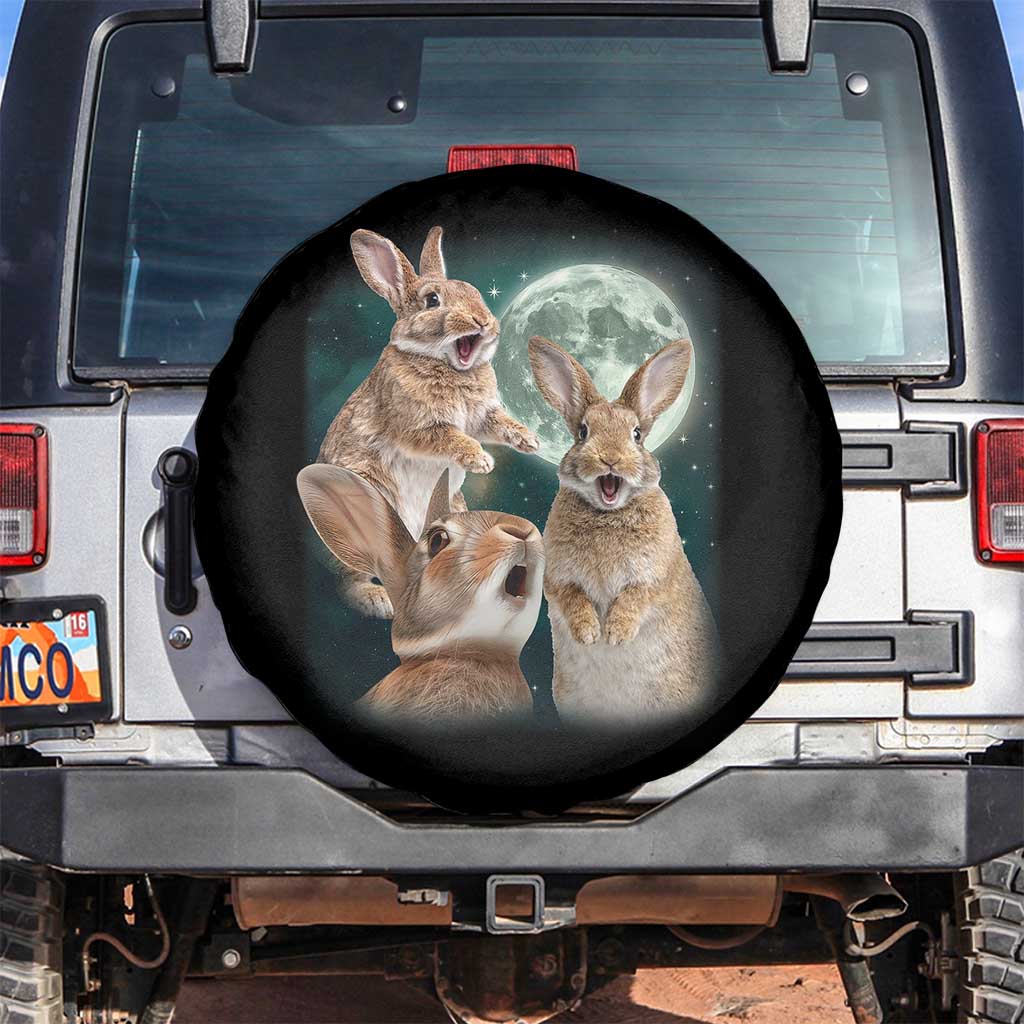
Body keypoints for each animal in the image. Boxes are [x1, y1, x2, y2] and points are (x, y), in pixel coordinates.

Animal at [317, 226, 539, 620]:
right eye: (432, 300)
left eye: (474, 292)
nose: (484, 322)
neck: (449, 366)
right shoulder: (417, 426)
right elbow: (449, 437)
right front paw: (480, 460)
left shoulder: (483, 417)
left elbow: (500, 424)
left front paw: (529, 440)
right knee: (350, 580)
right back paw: (380, 601)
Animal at [528, 336, 719, 724]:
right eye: (583, 432)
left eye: (636, 435)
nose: (610, 458)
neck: (607, 514)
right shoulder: (557, 579)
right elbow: (571, 597)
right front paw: (589, 633)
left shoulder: (655, 575)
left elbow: (637, 597)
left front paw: (615, 634)